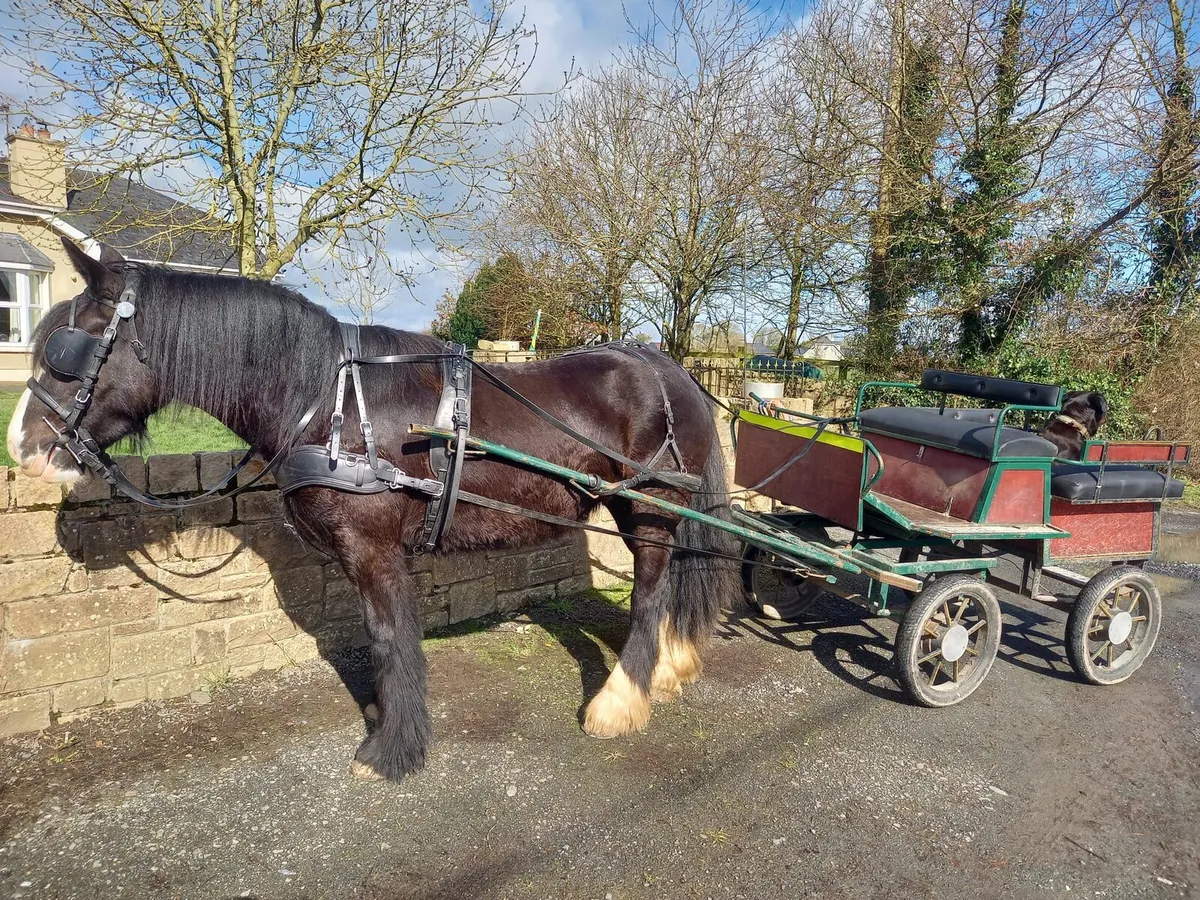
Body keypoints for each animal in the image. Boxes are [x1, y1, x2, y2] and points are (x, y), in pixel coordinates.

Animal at [7, 239, 740, 782]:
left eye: (70, 348)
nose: (22, 447)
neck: (326, 399)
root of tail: (667, 368)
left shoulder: (374, 550)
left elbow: (389, 642)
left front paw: (392, 750)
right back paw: (668, 668)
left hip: (651, 507)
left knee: (649, 591)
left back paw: (621, 700)